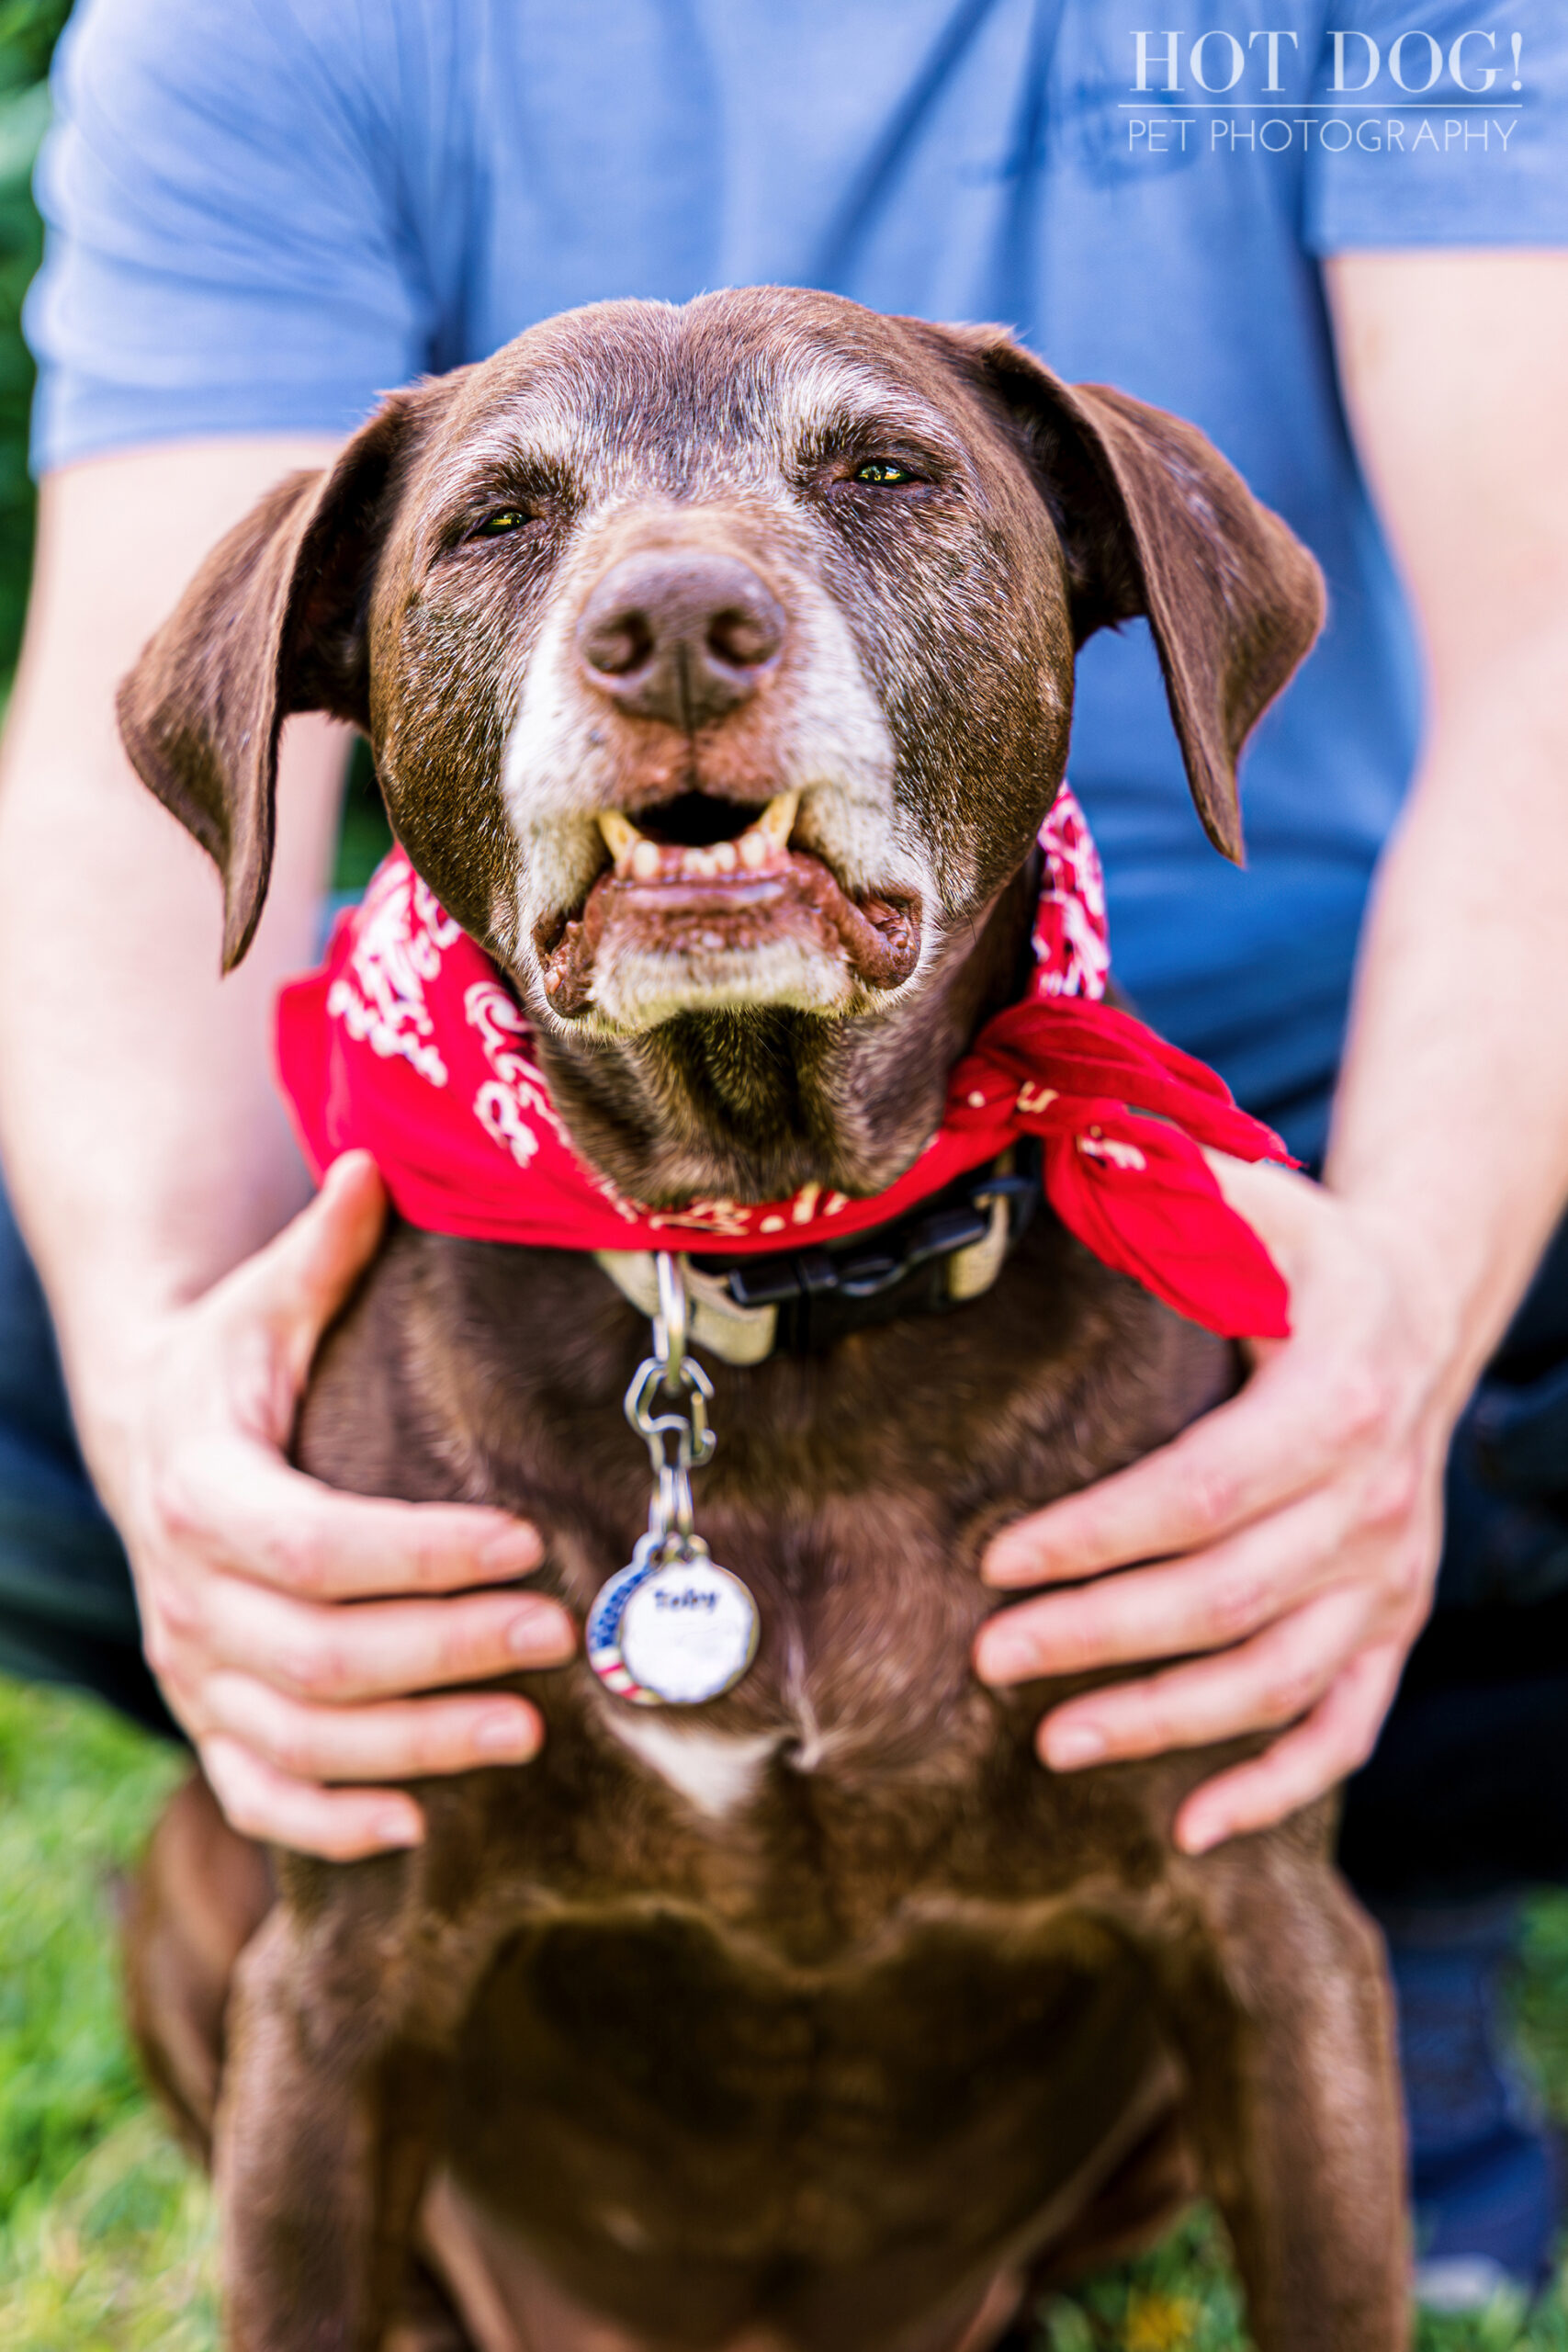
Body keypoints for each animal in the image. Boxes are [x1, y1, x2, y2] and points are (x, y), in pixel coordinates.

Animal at [116, 288, 1401, 2352]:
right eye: (495, 519)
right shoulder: (341, 1982)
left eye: (882, 468)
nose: (675, 627)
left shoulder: (1270, 1938)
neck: (778, 1266)